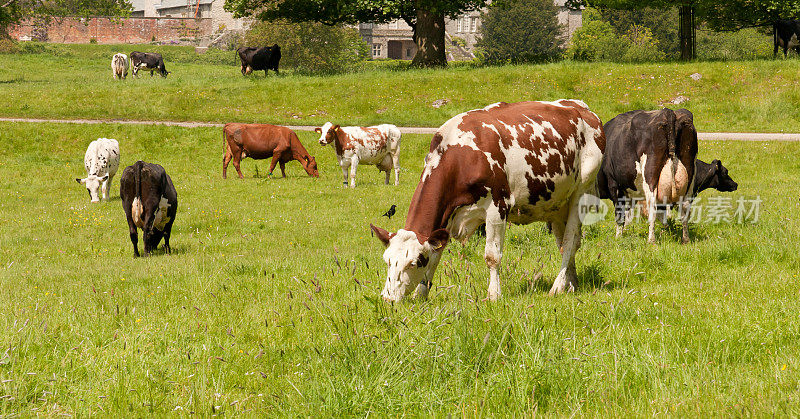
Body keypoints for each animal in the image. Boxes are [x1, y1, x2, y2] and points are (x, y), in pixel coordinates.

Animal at [372, 100, 604, 302]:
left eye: (412, 263)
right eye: (387, 261)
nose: (388, 299)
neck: (461, 155)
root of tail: (581, 108)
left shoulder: (498, 207)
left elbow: (492, 256)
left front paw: (494, 295)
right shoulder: (446, 216)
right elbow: (436, 255)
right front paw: (421, 294)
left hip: (580, 195)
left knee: (570, 241)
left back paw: (557, 286)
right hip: (556, 204)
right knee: (565, 244)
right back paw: (571, 283)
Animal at [596, 108, 696, 244]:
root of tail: (669, 112)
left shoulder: (614, 184)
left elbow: (620, 215)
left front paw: (618, 237)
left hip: (650, 177)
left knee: (652, 209)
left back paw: (651, 240)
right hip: (689, 176)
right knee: (685, 209)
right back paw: (685, 239)